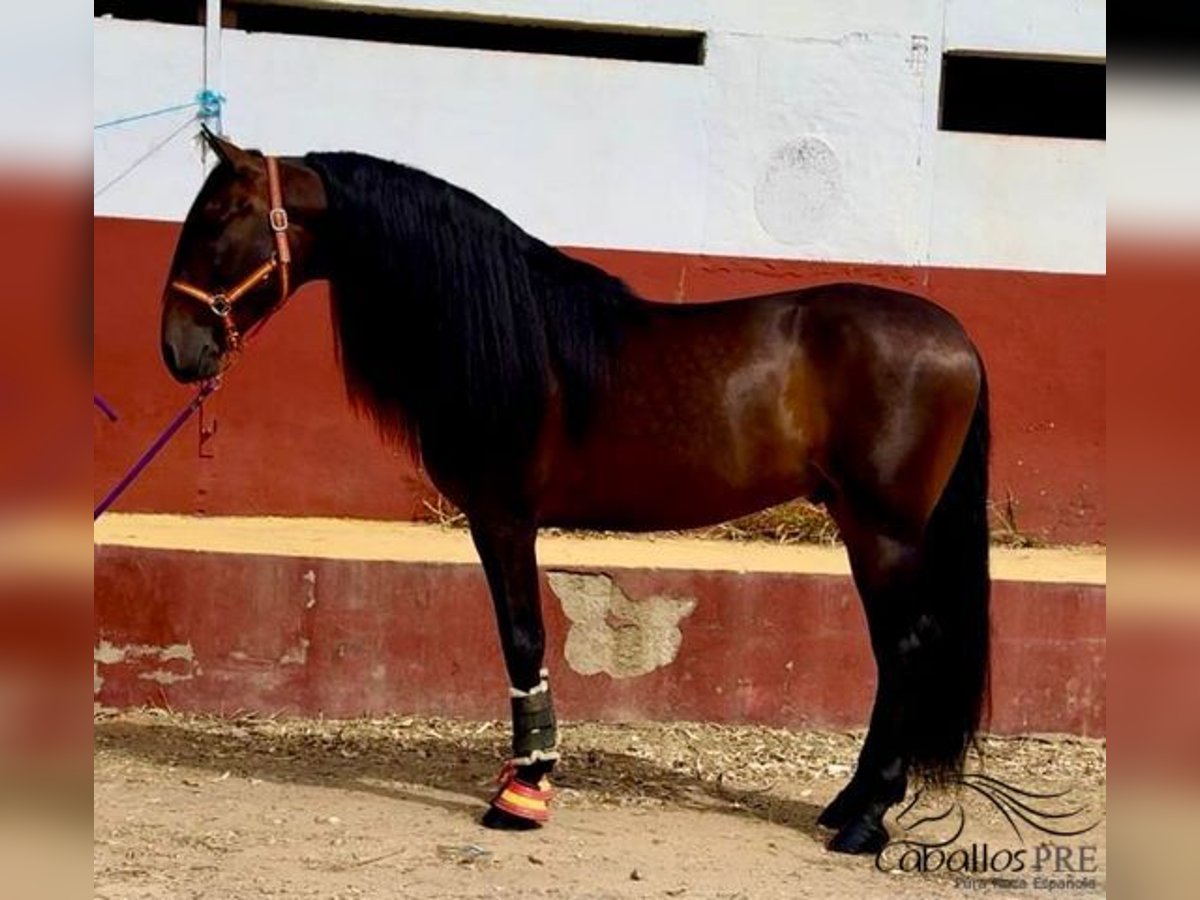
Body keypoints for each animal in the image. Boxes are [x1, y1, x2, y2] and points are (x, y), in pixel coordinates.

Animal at [159, 130, 988, 854]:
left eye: (218, 217)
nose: (178, 348)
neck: (511, 338)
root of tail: (956, 337)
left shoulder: (503, 517)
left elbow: (523, 638)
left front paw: (523, 793)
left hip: (884, 530)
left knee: (906, 648)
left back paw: (866, 818)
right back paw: (848, 804)